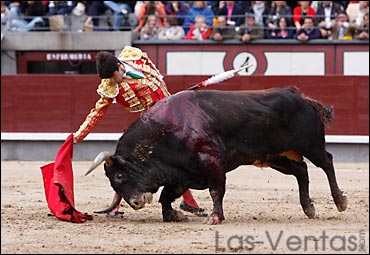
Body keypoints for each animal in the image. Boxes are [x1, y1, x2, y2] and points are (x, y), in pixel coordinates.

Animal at [86, 86, 346, 224]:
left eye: (119, 177)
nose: (136, 203)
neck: (168, 129)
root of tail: (299, 96)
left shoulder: (211, 162)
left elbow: (215, 190)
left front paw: (215, 217)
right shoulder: (181, 174)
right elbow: (166, 197)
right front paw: (174, 215)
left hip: (310, 144)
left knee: (327, 162)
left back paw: (340, 201)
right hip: (274, 156)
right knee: (301, 170)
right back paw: (309, 208)